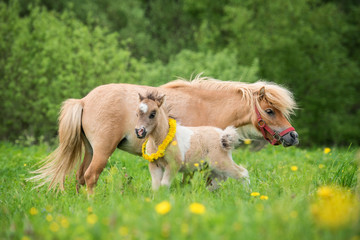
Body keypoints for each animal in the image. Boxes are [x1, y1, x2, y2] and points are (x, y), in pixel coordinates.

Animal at [29, 77, 296, 195]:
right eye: (270, 111)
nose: (293, 137)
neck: (207, 105)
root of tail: (84, 100)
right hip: (103, 151)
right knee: (91, 176)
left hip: (91, 150)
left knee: (79, 177)